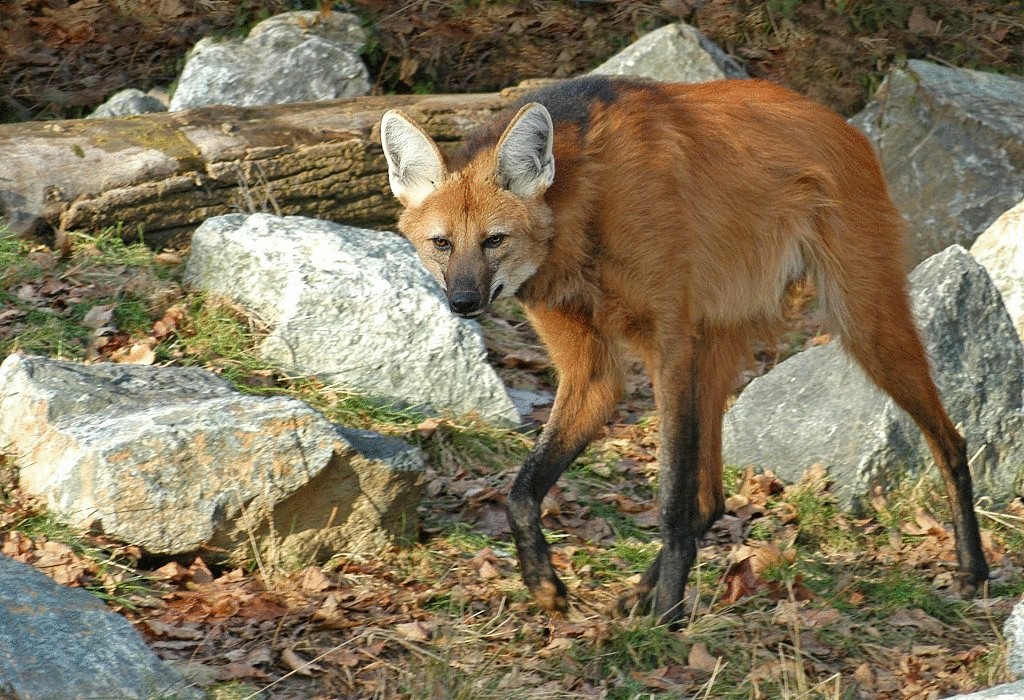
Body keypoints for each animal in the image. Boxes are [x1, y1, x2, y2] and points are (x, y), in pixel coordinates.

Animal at [380, 77, 987, 622]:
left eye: (494, 240)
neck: (584, 211)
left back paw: (973, 569)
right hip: (718, 341)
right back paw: (638, 594)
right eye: (442, 243)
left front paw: (669, 616)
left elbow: (670, 495)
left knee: (951, 440)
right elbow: (523, 490)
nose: (463, 301)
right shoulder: (598, 369)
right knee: (712, 497)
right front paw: (545, 584)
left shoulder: (668, 346)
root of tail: (849, 127)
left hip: (863, 322)